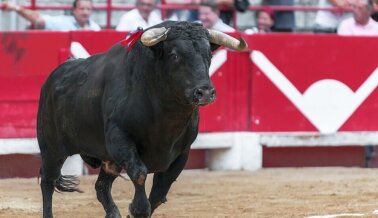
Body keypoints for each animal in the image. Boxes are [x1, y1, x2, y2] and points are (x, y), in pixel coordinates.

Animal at [37, 20, 247, 218]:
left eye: (209, 55)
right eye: (174, 55)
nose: (205, 92)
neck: (166, 115)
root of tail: (52, 78)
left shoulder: (182, 153)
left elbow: (160, 191)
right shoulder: (120, 139)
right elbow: (139, 173)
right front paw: (138, 209)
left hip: (109, 161)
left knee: (101, 186)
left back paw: (113, 213)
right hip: (52, 149)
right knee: (48, 181)